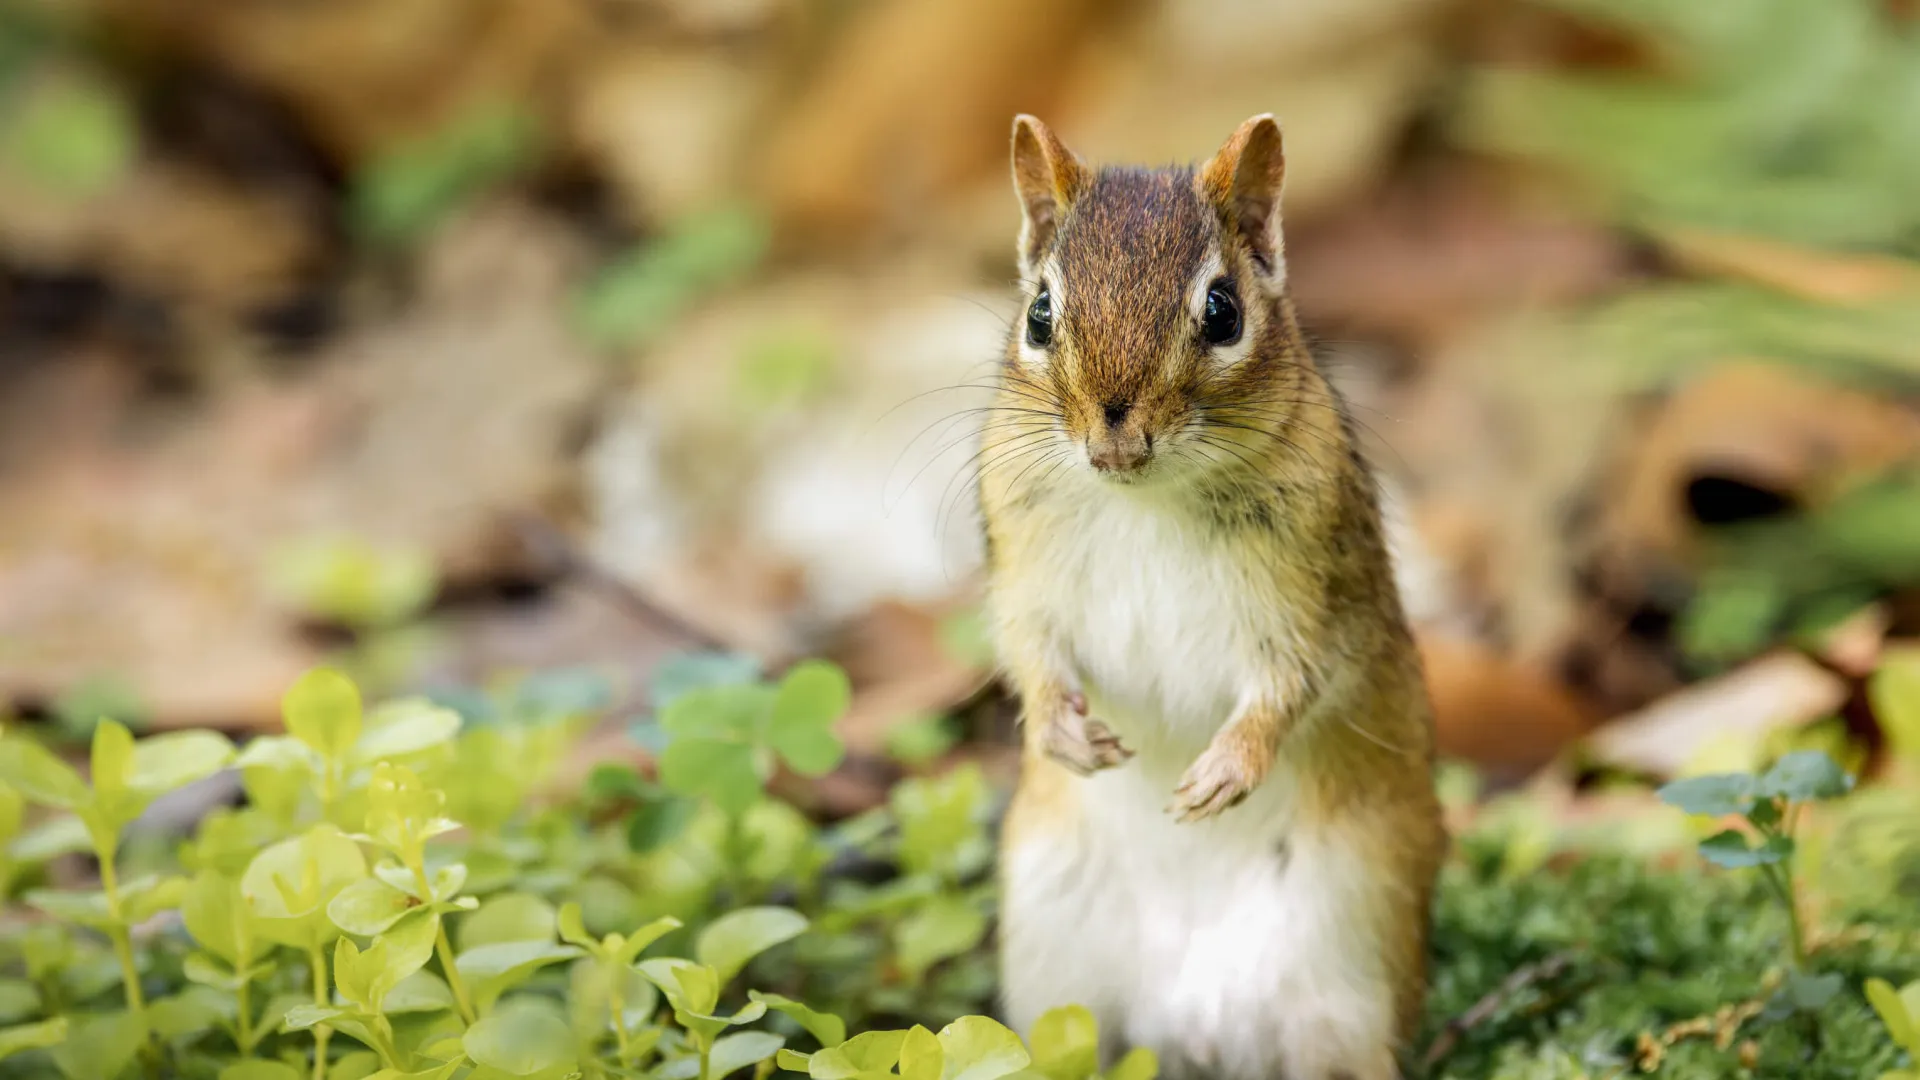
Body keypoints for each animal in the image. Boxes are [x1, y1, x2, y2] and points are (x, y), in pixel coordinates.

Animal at [983, 114, 1446, 1080]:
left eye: (1223, 311)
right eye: (1040, 312)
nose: (1114, 435)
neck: (1144, 501)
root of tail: (1196, 1028)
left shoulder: (1314, 597)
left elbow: (1291, 685)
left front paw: (1223, 771)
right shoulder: (1022, 577)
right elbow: (1029, 656)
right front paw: (1061, 734)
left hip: (1350, 962)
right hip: (1054, 955)